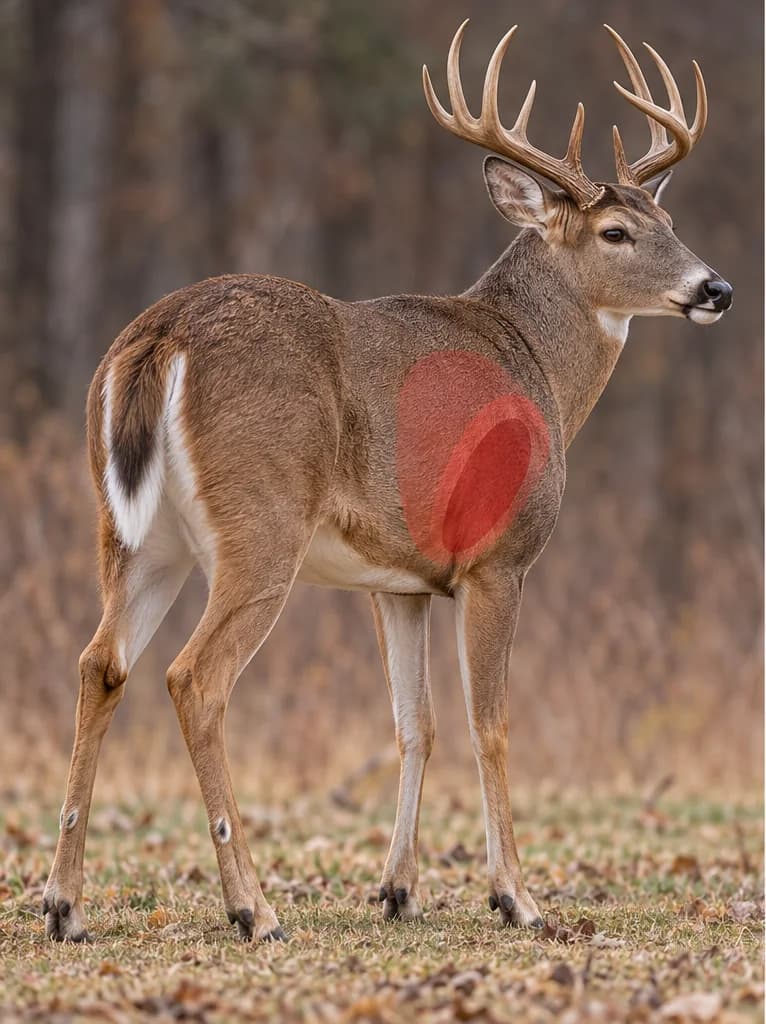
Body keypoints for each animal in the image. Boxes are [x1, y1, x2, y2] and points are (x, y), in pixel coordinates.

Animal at [43, 22, 732, 943]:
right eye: (617, 231)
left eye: (671, 218)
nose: (716, 288)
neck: (541, 368)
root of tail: (160, 335)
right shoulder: (498, 558)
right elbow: (489, 723)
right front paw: (517, 897)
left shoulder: (397, 580)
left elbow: (416, 724)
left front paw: (399, 890)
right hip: (262, 523)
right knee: (194, 677)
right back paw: (253, 908)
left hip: (134, 536)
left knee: (100, 662)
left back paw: (65, 905)